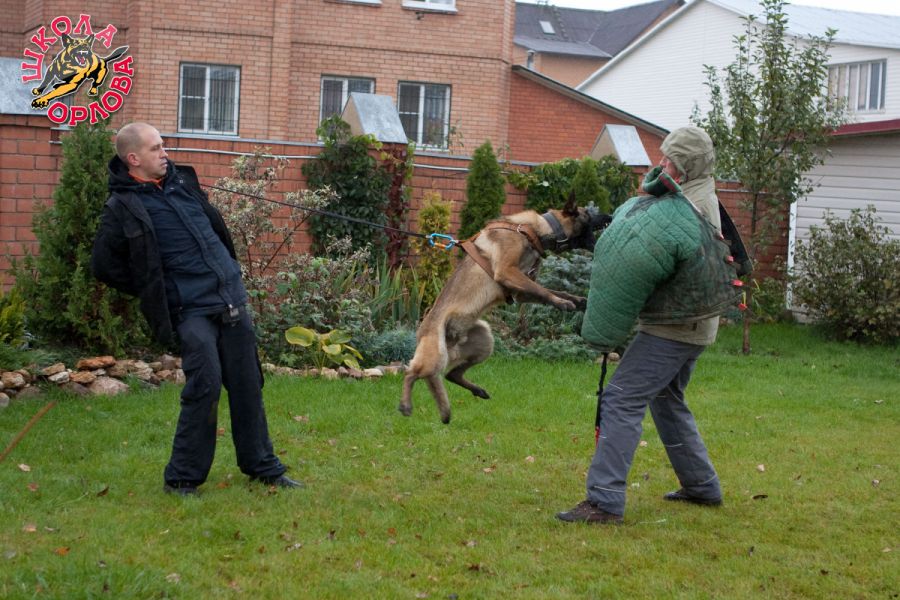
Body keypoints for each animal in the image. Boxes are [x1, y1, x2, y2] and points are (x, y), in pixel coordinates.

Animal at [399, 197, 609, 423]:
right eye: (588, 213)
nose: (610, 215)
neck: (535, 230)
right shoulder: (507, 272)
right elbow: (543, 290)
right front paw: (562, 303)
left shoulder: (520, 290)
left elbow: (550, 290)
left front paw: (576, 300)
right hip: (436, 355)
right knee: (412, 372)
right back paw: (405, 404)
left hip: (484, 341)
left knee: (450, 374)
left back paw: (477, 391)